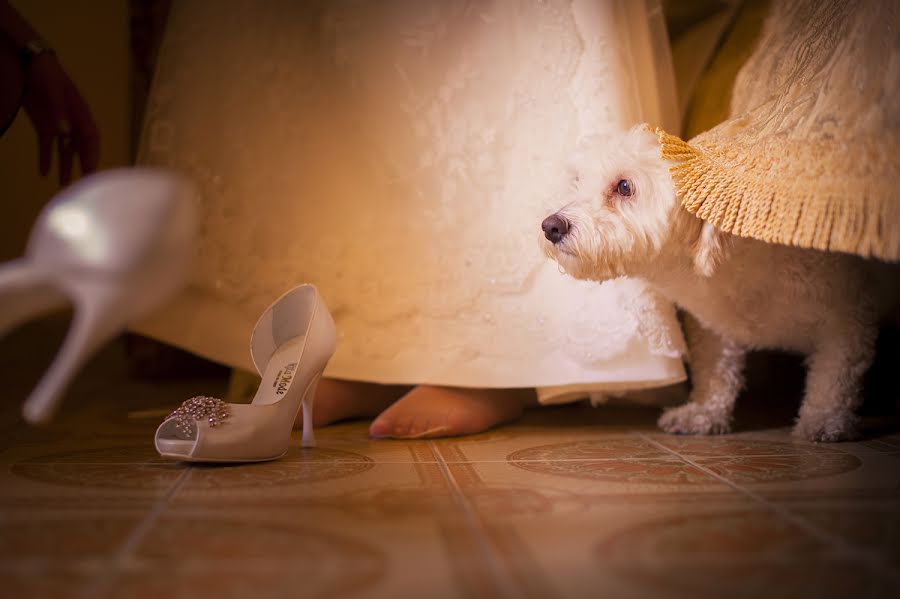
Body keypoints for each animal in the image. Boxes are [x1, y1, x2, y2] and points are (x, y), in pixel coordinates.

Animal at [540, 126, 900, 442]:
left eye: (625, 186)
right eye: (577, 181)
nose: (550, 226)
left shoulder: (848, 311)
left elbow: (834, 374)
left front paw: (824, 419)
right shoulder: (714, 326)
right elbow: (716, 369)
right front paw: (703, 413)